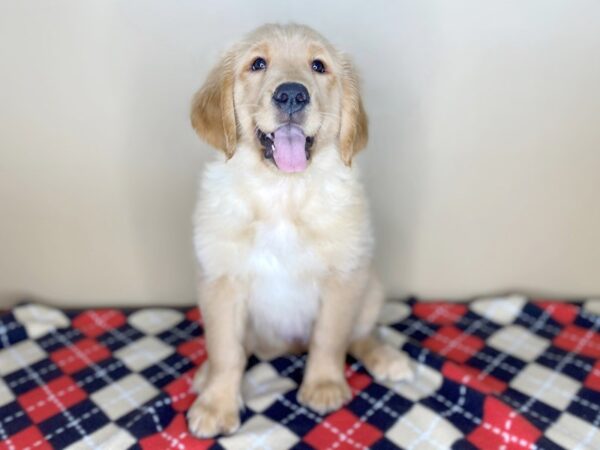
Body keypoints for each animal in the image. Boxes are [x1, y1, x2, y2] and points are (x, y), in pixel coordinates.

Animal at [189, 23, 412, 436]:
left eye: (318, 65)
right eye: (257, 64)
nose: (292, 93)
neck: (282, 194)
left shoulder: (343, 278)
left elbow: (330, 339)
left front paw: (323, 385)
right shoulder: (221, 283)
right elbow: (226, 351)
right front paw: (216, 404)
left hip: (371, 285)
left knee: (360, 336)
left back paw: (387, 357)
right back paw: (205, 376)